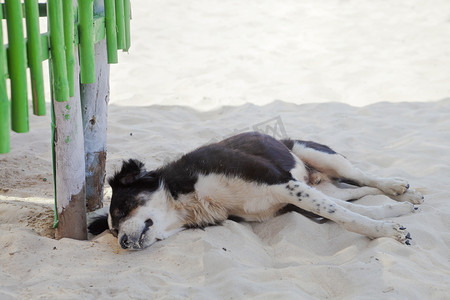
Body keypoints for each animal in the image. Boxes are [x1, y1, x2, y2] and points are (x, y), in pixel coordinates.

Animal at [89, 132, 424, 250]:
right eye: (112, 231)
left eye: (123, 208)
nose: (123, 243)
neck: (191, 195)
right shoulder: (288, 196)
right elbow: (347, 212)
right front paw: (391, 223)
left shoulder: (283, 184)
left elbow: (347, 217)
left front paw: (387, 232)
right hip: (317, 186)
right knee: (352, 196)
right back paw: (403, 204)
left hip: (319, 156)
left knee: (364, 178)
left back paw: (399, 187)